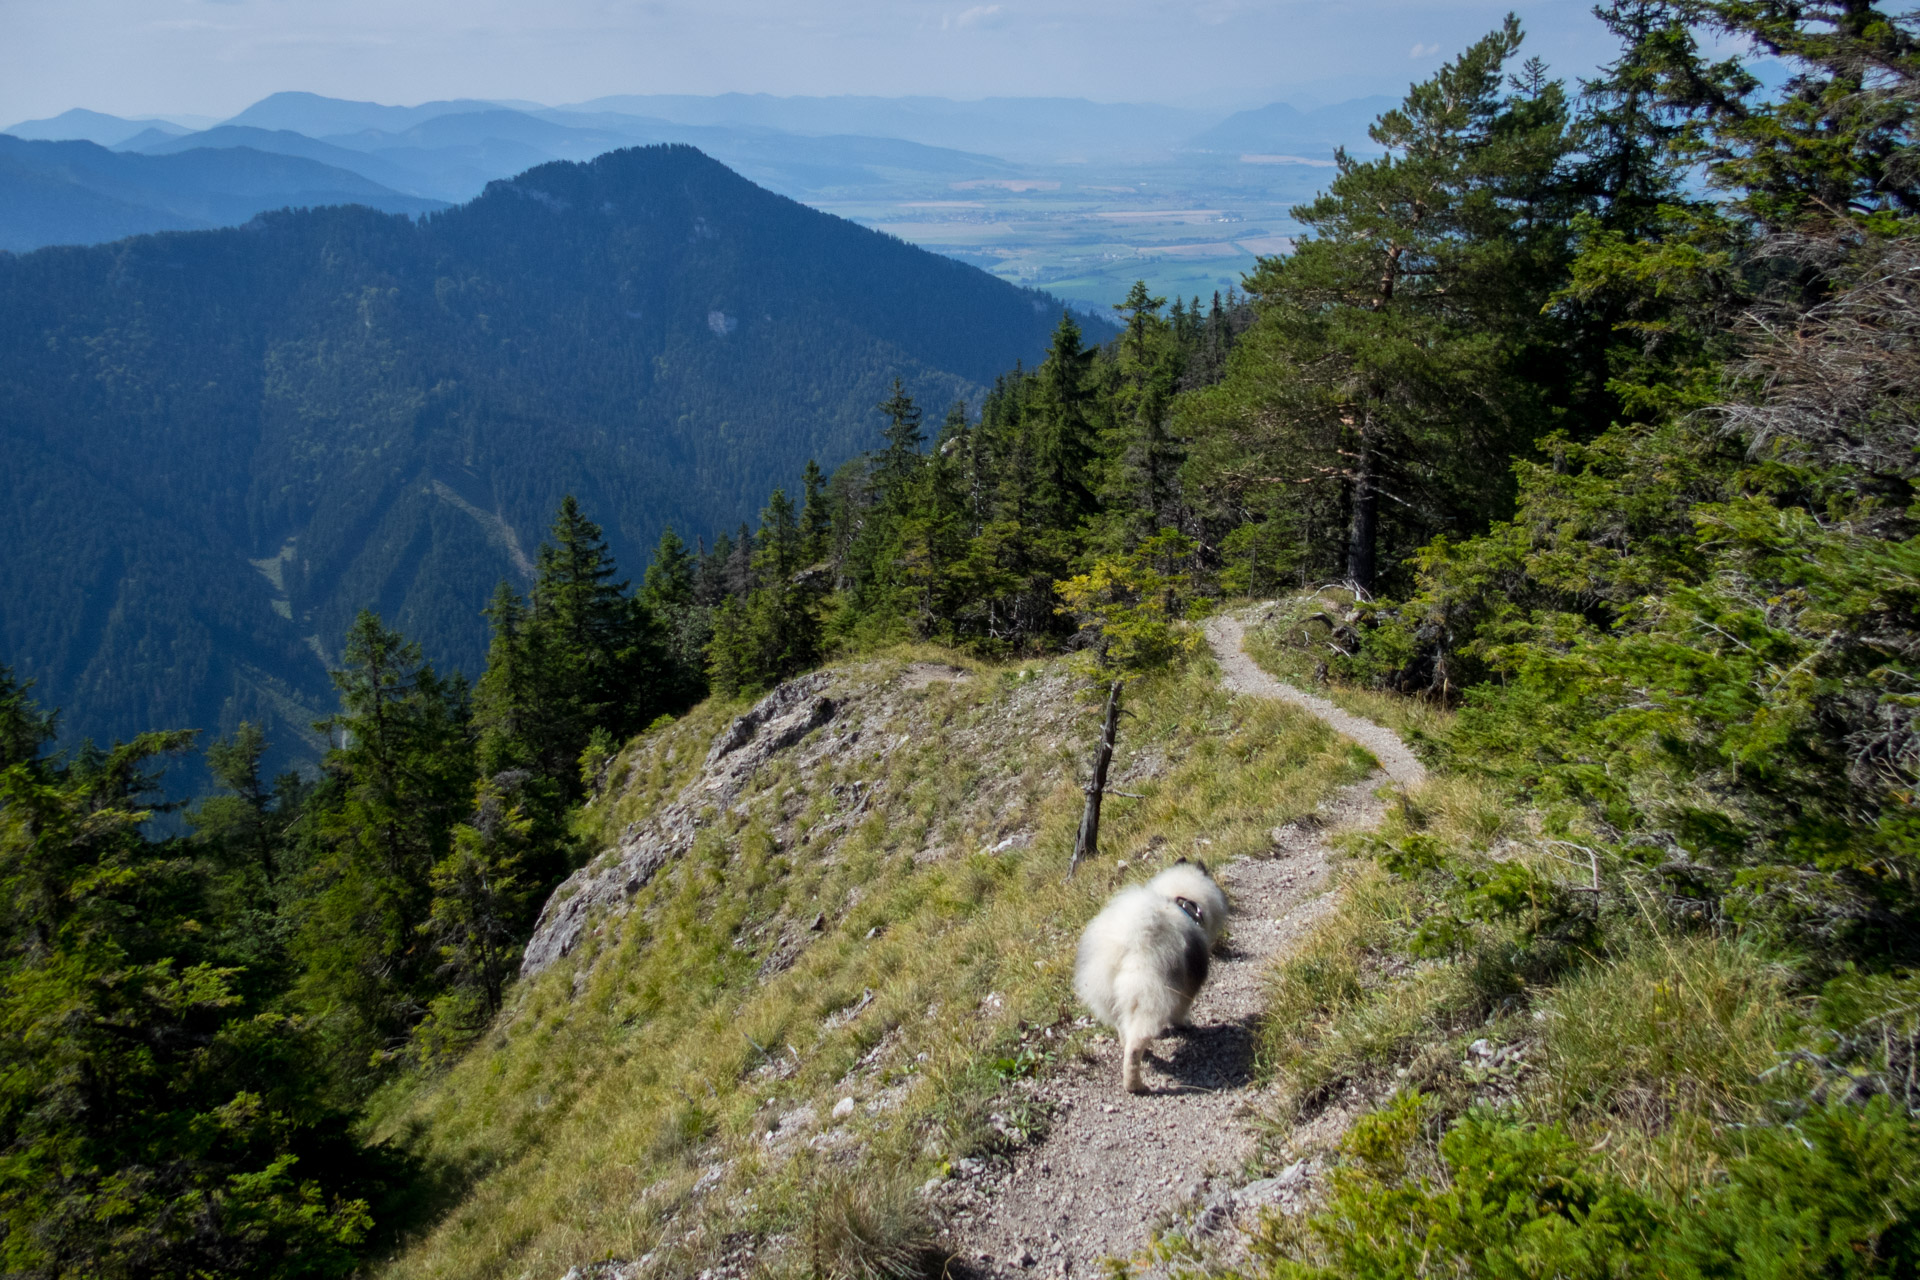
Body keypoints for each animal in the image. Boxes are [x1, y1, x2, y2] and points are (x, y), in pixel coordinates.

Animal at [1067, 859, 1228, 1090]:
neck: (1180, 901)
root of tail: (1122, 946)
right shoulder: (1188, 984)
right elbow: (1181, 1010)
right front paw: (1185, 1025)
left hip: (1109, 998)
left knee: (1123, 1032)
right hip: (1146, 999)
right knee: (1134, 1047)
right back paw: (1135, 1085)